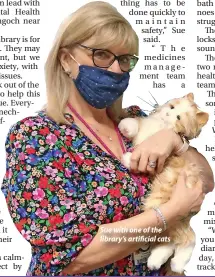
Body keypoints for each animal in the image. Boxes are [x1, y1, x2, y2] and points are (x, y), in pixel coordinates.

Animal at [117, 93, 208, 274]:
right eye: (172, 107)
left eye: (178, 117)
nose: (167, 113)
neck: (161, 126)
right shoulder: (143, 127)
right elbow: (135, 123)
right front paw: (125, 125)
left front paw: (128, 158)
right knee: (173, 243)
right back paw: (162, 262)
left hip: (160, 210)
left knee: (187, 239)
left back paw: (175, 264)